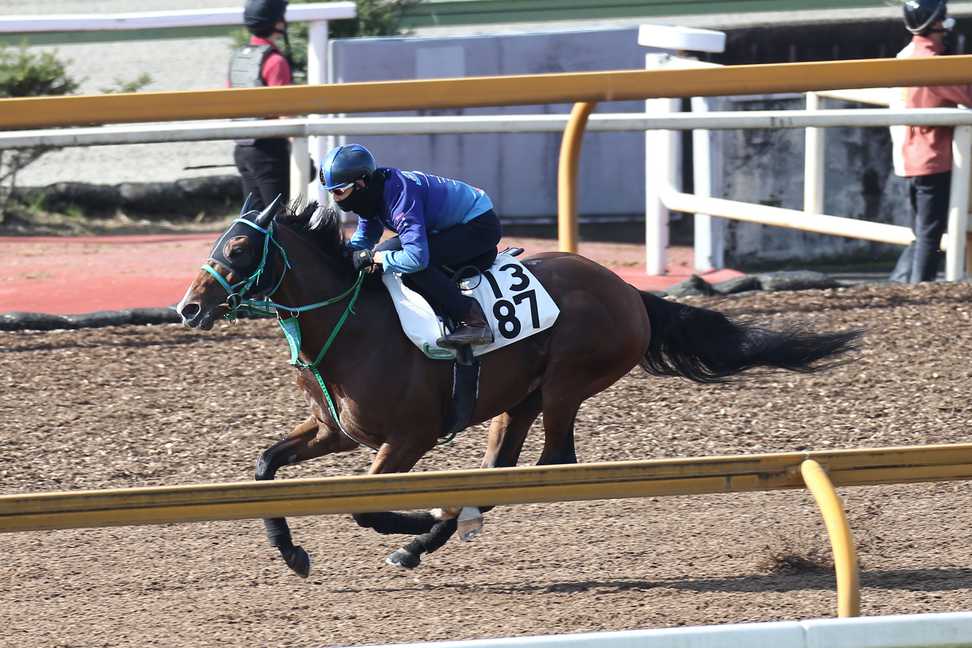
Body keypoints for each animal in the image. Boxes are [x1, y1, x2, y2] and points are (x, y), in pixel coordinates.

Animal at [175, 196, 860, 576]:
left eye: (239, 247)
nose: (188, 308)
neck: (352, 324)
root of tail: (627, 290)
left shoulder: (409, 438)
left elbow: (362, 505)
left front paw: (409, 517)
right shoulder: (336, 430)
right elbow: (265, 466)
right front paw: (289, 552)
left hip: (565, 384)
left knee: (551, 462)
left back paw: (426, 533)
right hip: (517, 401)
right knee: (502, 470)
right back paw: (430, 538)